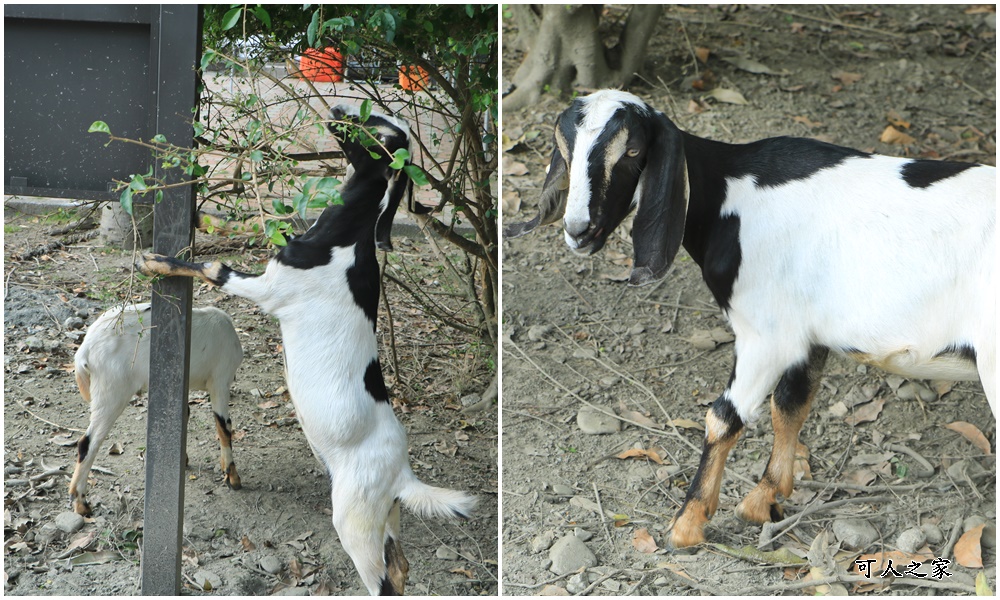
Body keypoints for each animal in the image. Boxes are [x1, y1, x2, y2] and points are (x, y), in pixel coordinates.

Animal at [69, 304, 244, 516]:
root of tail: (84, 350)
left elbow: (182, 416)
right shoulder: (220, 380)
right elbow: (223, 427)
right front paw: (233, 478)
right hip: (110, 393)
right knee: (87, 444)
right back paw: (81, 504)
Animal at [137, 104, 476, 596]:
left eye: (377, 131)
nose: (338, 108)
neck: (347, 236)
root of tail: (403, 474)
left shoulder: (267, 289)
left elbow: (213, 267)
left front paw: (154, 261)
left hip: (354, 520)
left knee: (382, 580)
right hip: (385, 514)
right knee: (400, 567)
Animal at [512, 88, 996, 548]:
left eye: (632, 151)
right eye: (564, 148)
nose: (579, 230)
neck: (730, 191)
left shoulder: (766, 334)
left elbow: (724, 416)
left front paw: (687, 525)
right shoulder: (806, 334)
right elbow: (790, 404)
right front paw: (763, 500)